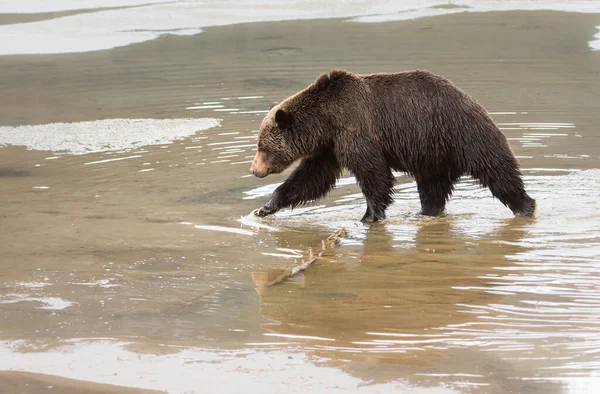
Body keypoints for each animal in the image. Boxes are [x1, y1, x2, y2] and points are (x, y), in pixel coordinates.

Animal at [248, 69, 536, 223]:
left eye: (262, 146)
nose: (254, 170)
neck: (325, 121)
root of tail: (472, 100)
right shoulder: (329, 147)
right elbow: (311, 178)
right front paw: (265, 207)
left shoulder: (355, 129)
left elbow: (374, 173)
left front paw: (370, 215)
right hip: (433, 156)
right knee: (432, 188)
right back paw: (425, 211)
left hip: (463, 135)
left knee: (497, 171)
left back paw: (525, 206)